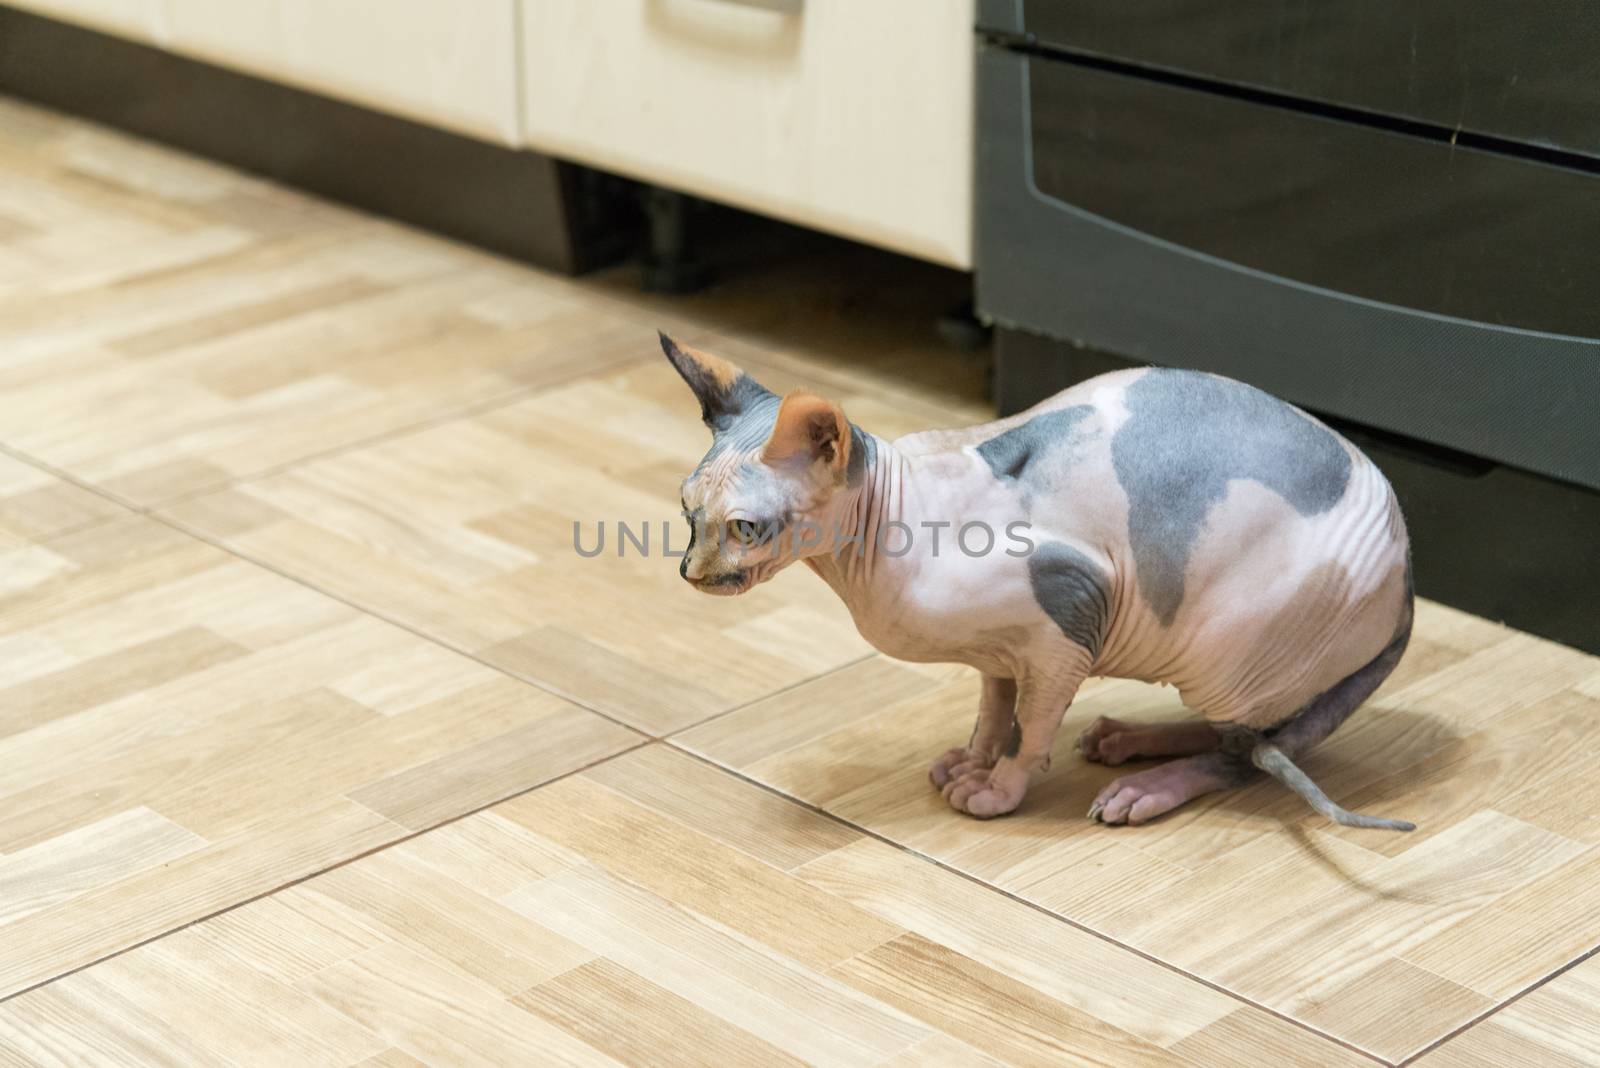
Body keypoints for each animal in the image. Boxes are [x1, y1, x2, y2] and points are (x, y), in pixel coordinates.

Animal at [662, 329, 1414, 831]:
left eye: (746, 528)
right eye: (687, 512)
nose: (690, 572)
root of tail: (1407, 574)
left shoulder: (1071, 623)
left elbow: (1033, 727)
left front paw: (998, 789)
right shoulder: (1002, 648)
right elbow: (995, 706)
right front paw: (973, 759)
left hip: (1229, 654)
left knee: (1248, 751)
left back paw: (1148, 787)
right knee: (1245, 738)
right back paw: (1124, 738)